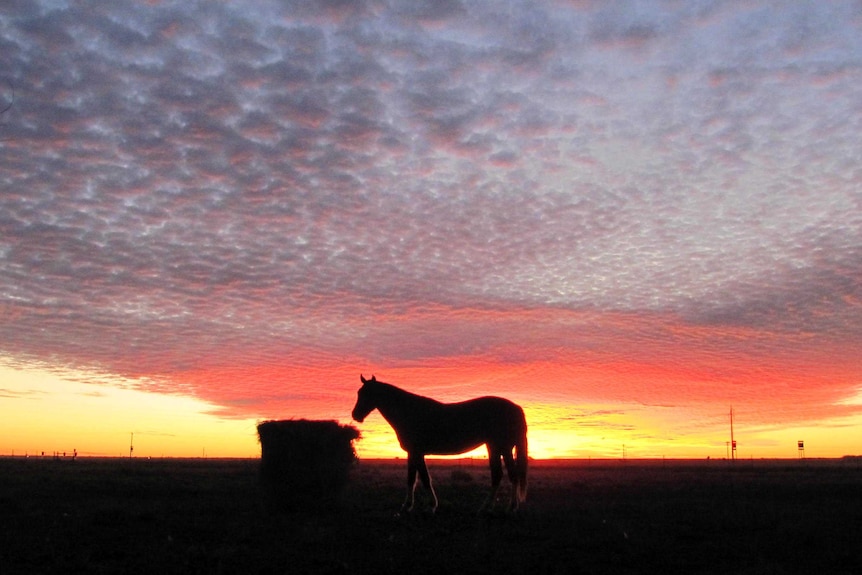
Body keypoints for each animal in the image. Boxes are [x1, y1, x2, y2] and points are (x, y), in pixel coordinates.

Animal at [350, 376, 528, 516]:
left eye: (368, 394)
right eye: (359, 393)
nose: (355, 415)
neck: (409, 412)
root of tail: (515, 408)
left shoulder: (416, 452)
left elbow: (421, 478)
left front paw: (425, 506)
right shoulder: (414, 453)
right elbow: (415, 478)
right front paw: (412, 506)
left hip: (502, 448)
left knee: (508, 475)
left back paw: (504, 508)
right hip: (497, 448)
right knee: (503, 475)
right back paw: (495, 507)